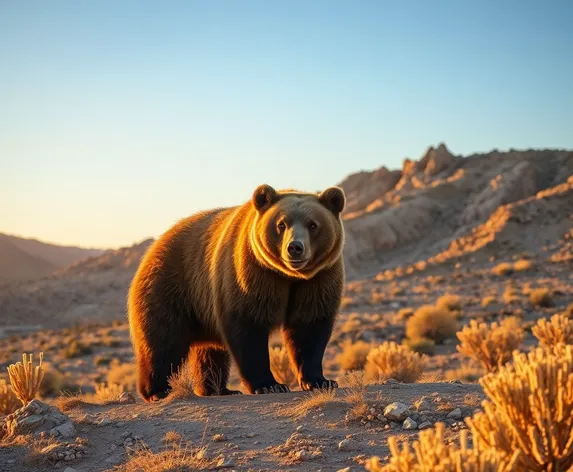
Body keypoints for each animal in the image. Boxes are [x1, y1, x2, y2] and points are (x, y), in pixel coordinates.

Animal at [127, 184, 344, 402]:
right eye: (281, 224)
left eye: (313, 225)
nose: (295, 247)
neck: (288, 276)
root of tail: (155, 246)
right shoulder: (251, 273)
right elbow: (249, 327)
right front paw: (269, 385)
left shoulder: (318, 279)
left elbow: (309, 327)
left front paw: (321, 381)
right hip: (170, 286)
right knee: (162, 341)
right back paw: (158, 390)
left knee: (210, 352)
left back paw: (218, 388)